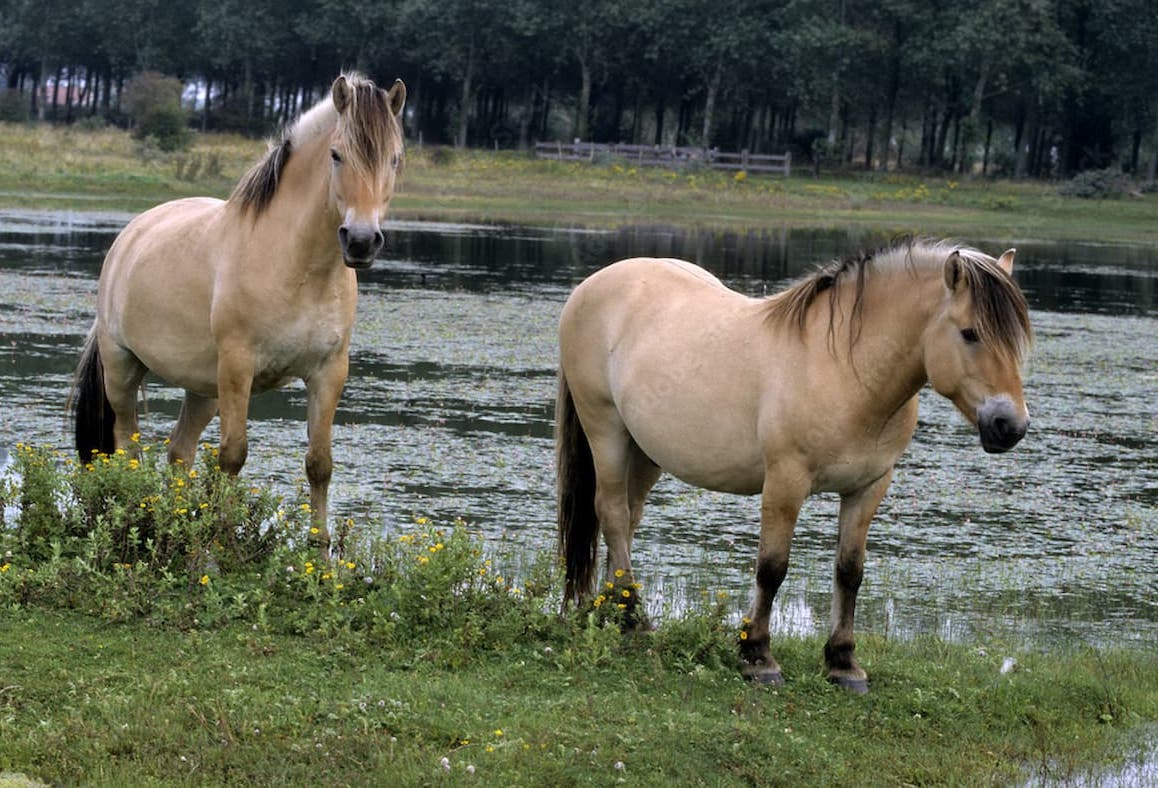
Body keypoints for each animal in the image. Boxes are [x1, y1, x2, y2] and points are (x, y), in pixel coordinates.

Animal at [71, 75, 407, 553]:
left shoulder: (329, 372)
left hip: (204, 390)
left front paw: (319, 552)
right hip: (123, 369)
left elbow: (319, 463)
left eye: (395, 159)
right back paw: (132, 510)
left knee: (179, 451)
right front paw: (225, 541)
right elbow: (232, 456)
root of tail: (131, 235)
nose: (361, 241)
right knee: (126, 445)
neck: (297, 266)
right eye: (336, 154)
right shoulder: (238, 367)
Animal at [555, 238, 1037, 690]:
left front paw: (843, 662)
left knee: (628, 518)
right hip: (606, 431)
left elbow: (850, 572)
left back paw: (614, 607)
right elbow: (772, 568)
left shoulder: (869, 487)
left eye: (1017, 340)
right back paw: (632, 616)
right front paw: (757, 656)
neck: (845, 369)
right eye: (970, 333)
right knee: (613, 514)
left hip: (645, 449)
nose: (1009, 426)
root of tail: (594, 284)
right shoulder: (785, 481)